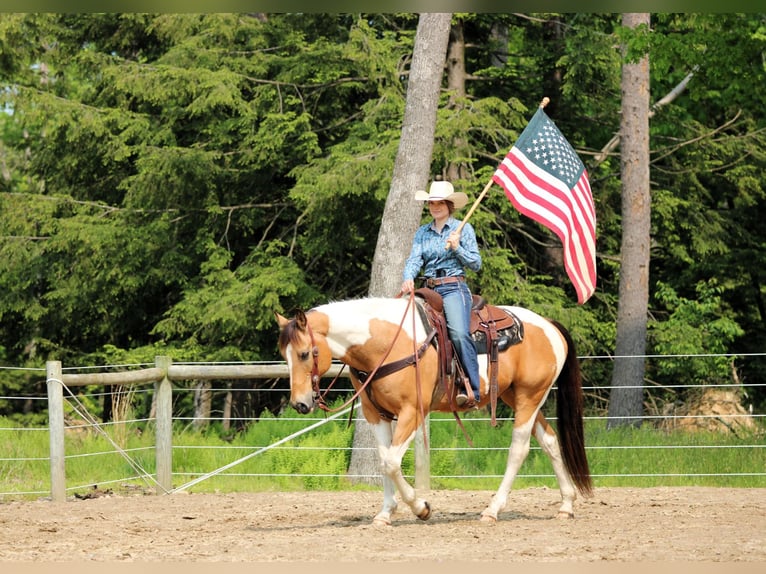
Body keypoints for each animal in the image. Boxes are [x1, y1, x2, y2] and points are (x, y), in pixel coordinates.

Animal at [275, 294, 592, 526]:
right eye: (285, 356)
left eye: (304, 353)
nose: (300, 403)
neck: (387, 343)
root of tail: (549, 325)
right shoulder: (375, 414)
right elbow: (383, 461)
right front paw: (385, 513)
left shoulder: (413, 412)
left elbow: (391, 462)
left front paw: (421, 507)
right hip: (517, 396)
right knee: (549, 440)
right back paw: (566, 505)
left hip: (529, 397)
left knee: (519, 448)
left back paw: (492, 510)